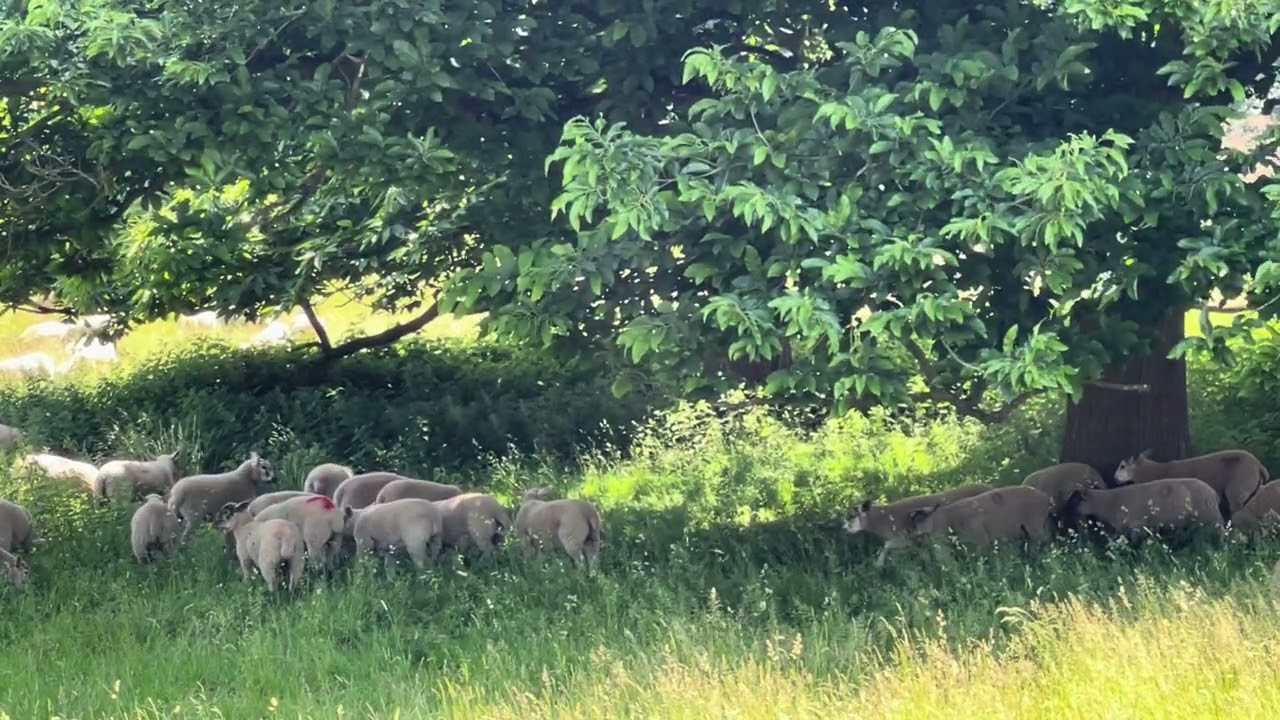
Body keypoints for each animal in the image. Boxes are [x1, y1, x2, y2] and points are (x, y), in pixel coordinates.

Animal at [842, 483, 995, 567]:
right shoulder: (915, 542)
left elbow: (886, 546)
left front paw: (878, 564)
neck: (882, 518)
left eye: (851, 515)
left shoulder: (905, 538)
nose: (844, 528)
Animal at [904, 485, 1055, 552]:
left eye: (918, 518)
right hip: (1040, 525)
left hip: (1035, 526)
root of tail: (1046, 497)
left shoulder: (981, 541)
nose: (911, 534)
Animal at [1065, 476, 1225, 546]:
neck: (1108, 503)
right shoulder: (1123, 527)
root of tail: (1213, 493)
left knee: (1221, 534)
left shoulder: (1137, 525)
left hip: (1212, 518)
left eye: (1074, 500)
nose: (1063, 513)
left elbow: (1135, 543)